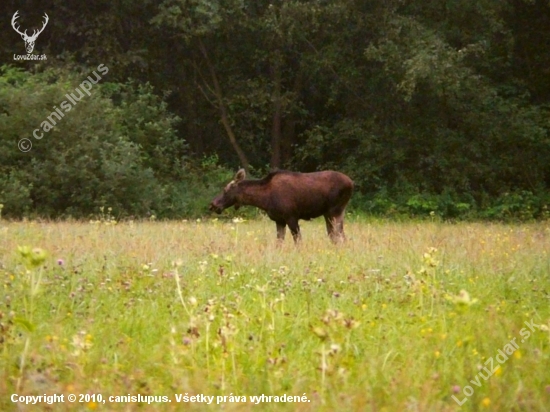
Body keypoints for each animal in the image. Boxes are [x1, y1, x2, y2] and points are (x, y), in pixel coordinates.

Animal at [209, 169, 356, 243]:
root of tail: (352, 183)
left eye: (225, 190)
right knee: (337, 236)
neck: (264, 200)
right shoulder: (279, 220)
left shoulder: (291, 216)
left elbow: (298, 241)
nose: (212, 205)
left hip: (335, 210)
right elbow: (279, 243)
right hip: (332, 213)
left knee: (339, 236)